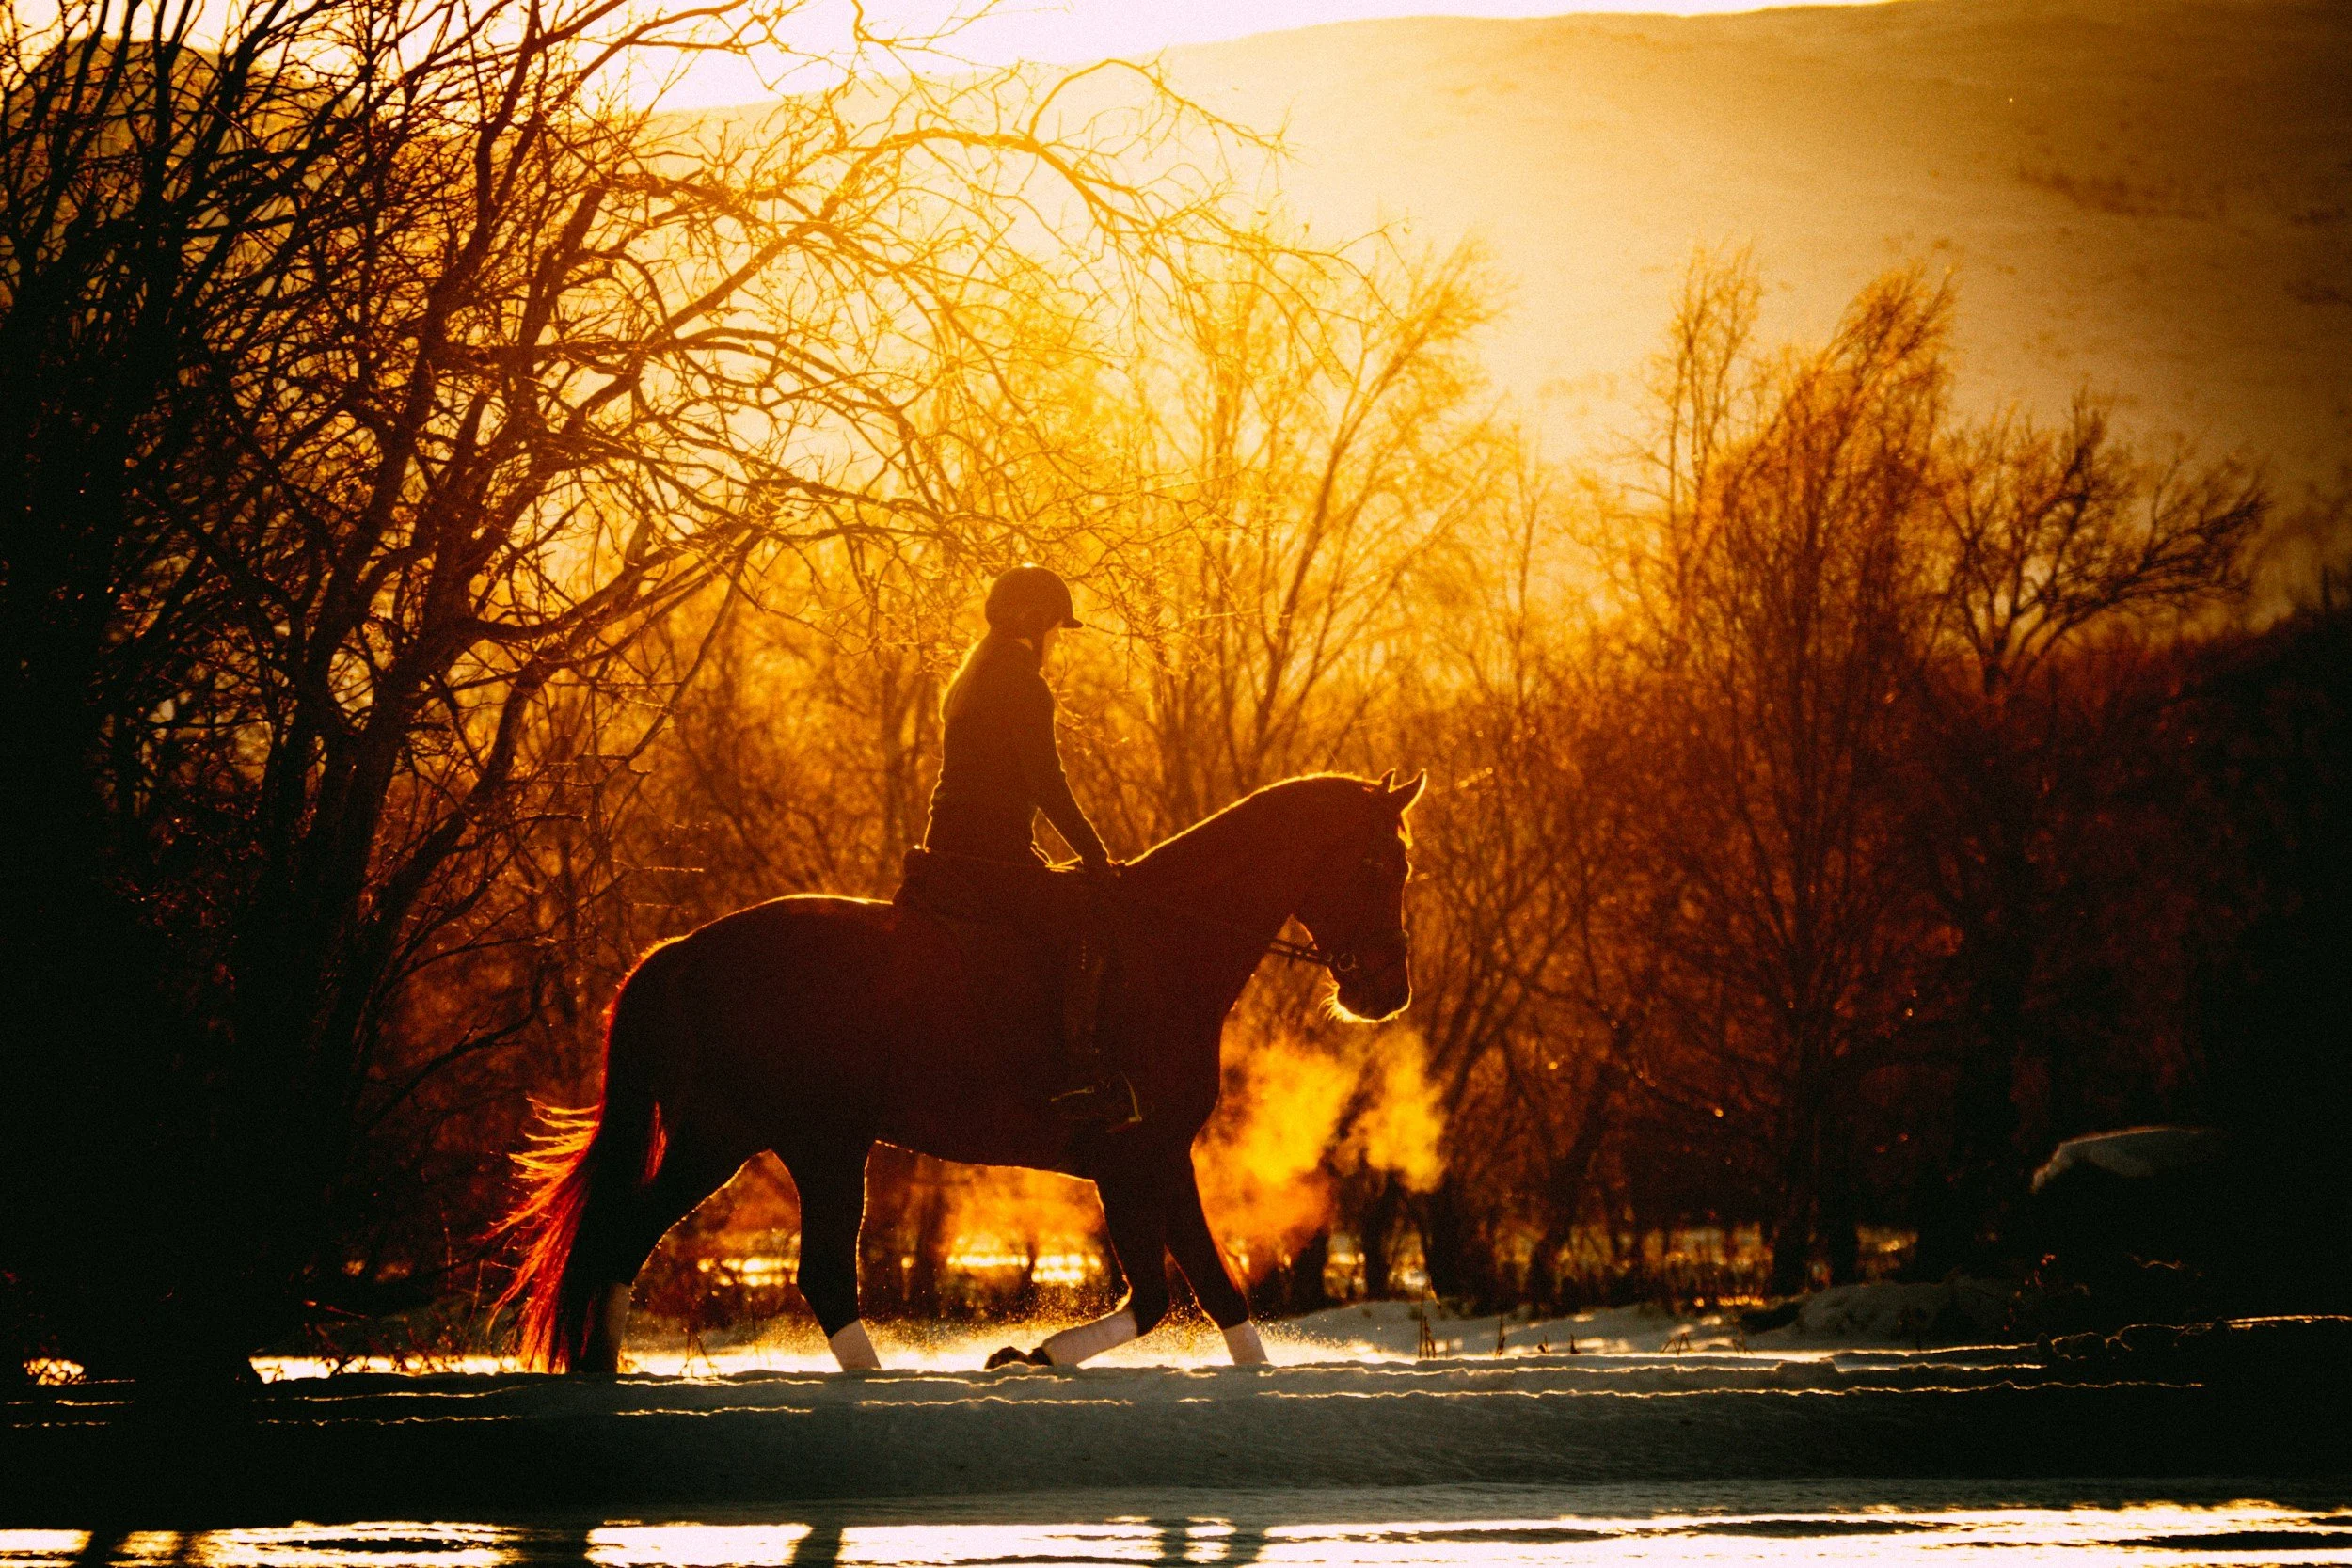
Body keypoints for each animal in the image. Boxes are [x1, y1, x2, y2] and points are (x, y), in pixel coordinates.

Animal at [500, 769, 1423, 1373]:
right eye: (1380, 863)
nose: (1387, 991)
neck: (1167, 945)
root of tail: (685, 951)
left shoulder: (1158, 1156)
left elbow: (1213, 1289)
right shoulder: (1134, 1156)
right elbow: (1165, 1290)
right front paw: (1033, 1353)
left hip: (775, 1140)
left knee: (694, 1248)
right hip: (783, 1141)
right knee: (741, 1256)